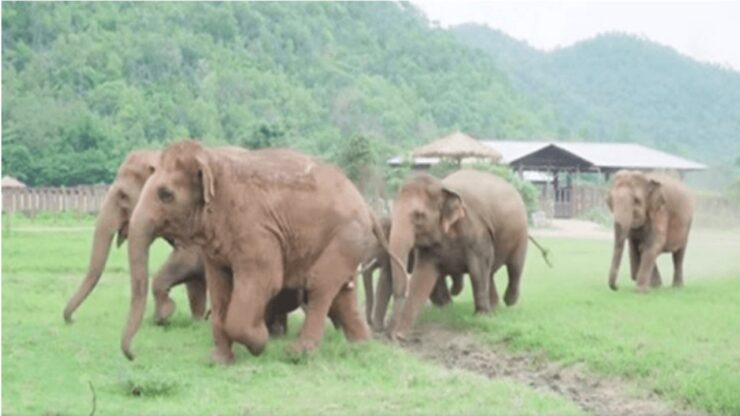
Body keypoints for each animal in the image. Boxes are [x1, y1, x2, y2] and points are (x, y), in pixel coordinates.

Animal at [62, 150, 208, 324]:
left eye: (123, 195)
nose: (73, 319)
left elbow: (191, 257)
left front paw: (163, 316)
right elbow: (194, 275)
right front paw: (198, 321)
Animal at [120, 140, 404, 360]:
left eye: (165, 194)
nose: (134, 355)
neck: (213, 159)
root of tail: (365, 205)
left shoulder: (256, 230)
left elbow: (265, 279)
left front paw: (259, 342)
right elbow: (219, 284)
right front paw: (219, 360)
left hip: (346, 236)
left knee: (319, 285)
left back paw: (297, 354)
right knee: (343, 291)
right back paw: (361, 348)